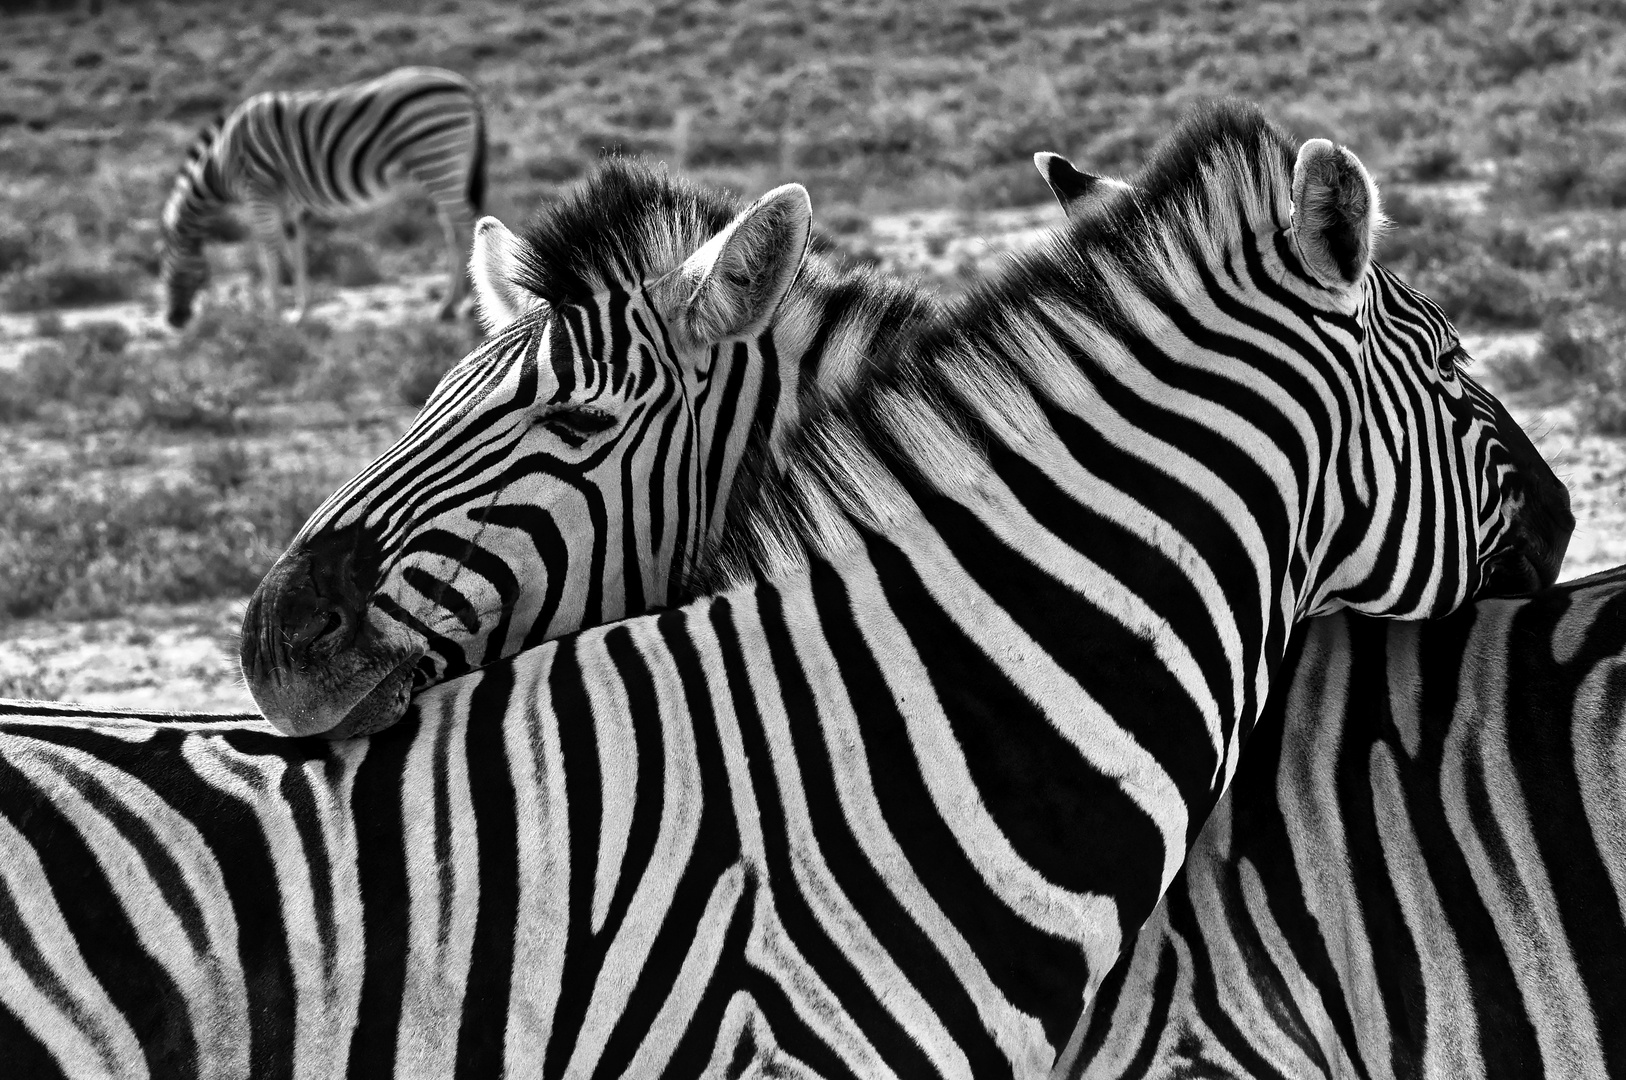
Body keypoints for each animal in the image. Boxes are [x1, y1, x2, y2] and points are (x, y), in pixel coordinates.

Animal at [157, 67, 487, 326]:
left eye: (164, 272)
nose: (173, 321)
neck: (219, 164)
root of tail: (466, 85)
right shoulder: (287, 202)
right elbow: (294, 248)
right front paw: (300, 311)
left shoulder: (259, 191)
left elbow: (268, 250)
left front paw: (273, 313)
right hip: (446, 169)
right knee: (455, 228)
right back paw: (457, 305)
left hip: (437, 160)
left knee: (465, 227)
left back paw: (461, 306)